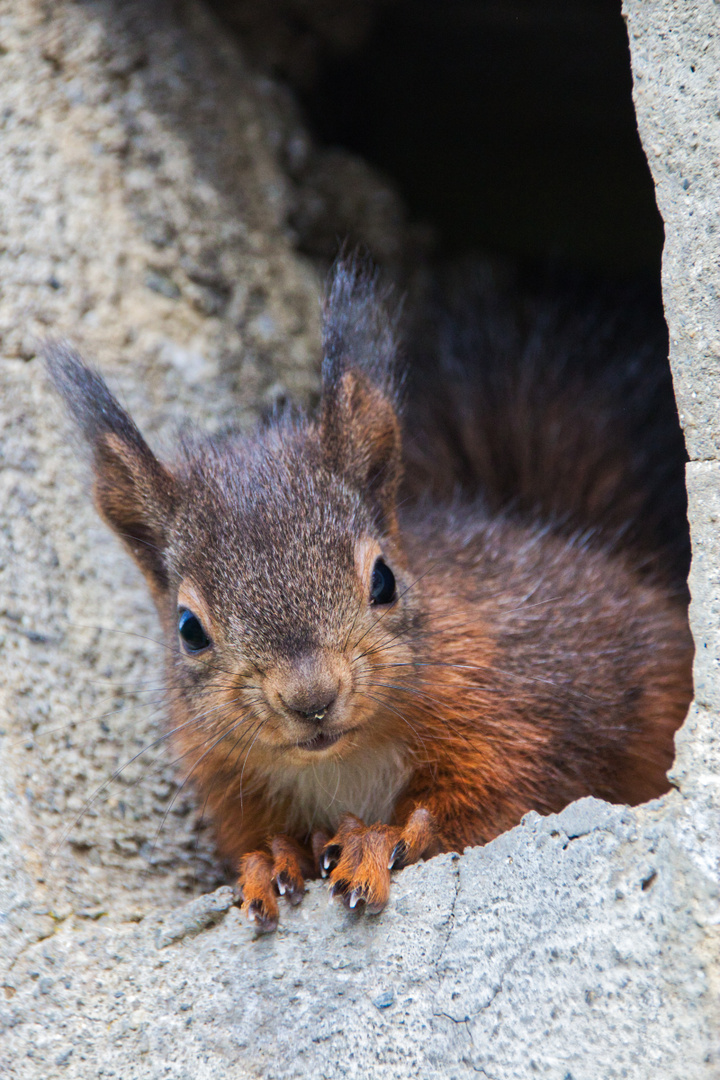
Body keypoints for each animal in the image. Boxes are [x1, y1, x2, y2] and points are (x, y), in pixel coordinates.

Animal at [46, 259, 690, 928]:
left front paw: (379, 839)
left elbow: (495, 803)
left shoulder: (530, 712)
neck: (343, 761)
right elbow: (259, 837)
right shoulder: (227, 781)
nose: (311, 699)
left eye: (384, 580)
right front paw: (274, 857)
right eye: (188, 630)